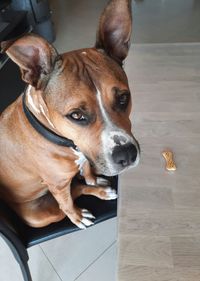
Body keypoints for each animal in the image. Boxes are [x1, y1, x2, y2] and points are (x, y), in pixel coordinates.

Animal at [0, 0, 140, 229]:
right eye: (76, 115)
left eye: (123, 98)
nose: (126, 155)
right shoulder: (57, 184)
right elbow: (66, 203)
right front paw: (77, 217)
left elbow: (86, 171)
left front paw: (92, 179)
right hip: (41, 215)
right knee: (67, 199)